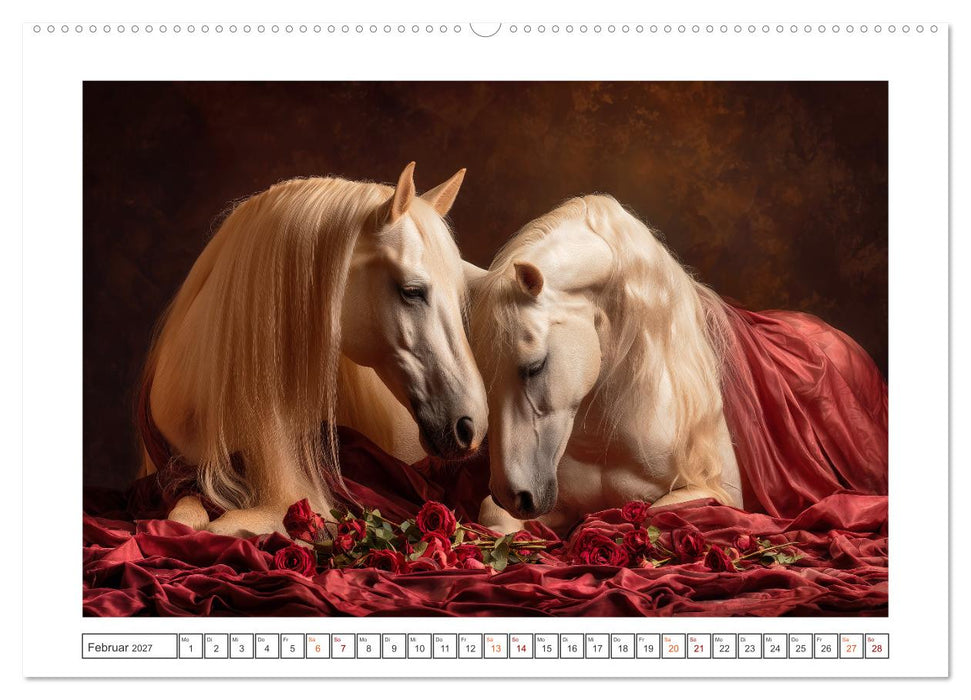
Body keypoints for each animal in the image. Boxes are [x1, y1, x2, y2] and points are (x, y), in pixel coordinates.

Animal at [139, 163, 489, 537]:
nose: (472, 425)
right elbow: (181, 517)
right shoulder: (173, 478)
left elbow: (216, 529)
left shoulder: (293, 505)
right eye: (411, 291)